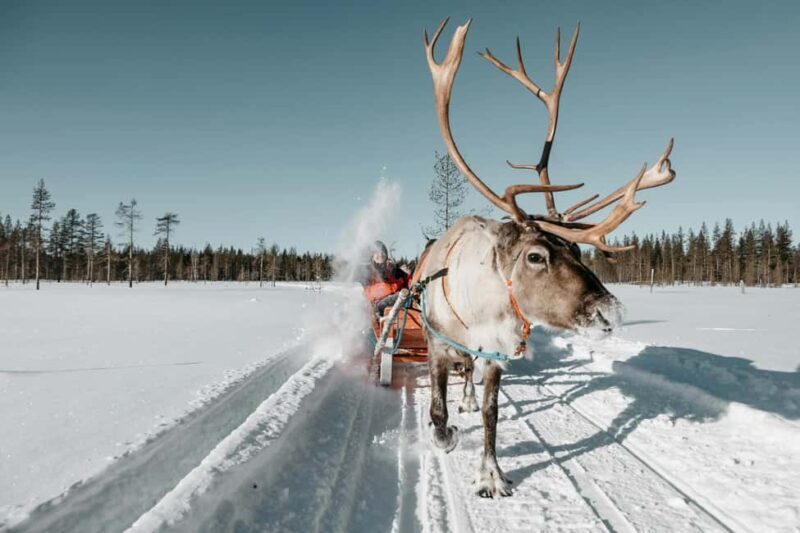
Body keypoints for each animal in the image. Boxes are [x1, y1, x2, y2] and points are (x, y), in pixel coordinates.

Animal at [417, 18, 676, 498]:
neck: (480, 308)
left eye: (577, 250)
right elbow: (437, 410)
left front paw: (490, 474)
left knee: (468, 381)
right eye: (536, 256)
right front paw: (448, 438)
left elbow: (491, 413)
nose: (611, 310)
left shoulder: (495, 355)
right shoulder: (437, 344)